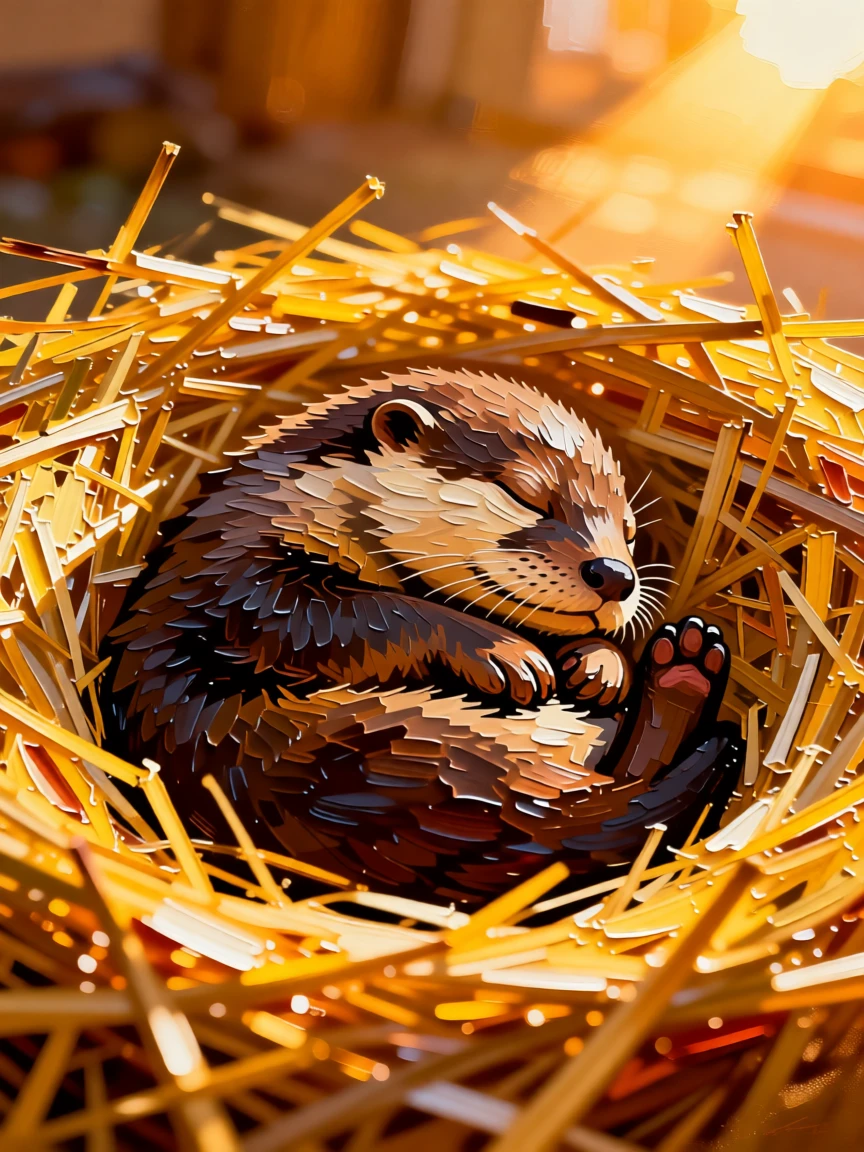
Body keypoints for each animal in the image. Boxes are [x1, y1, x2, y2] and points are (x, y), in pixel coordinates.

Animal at [103, 368, 741, 903]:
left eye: (627, 530)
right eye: (528, 495)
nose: (615, 575)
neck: (304, 505)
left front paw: (601, 663)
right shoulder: (241, 579)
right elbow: (361, 616)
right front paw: (505, 653)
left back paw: (684, 667)